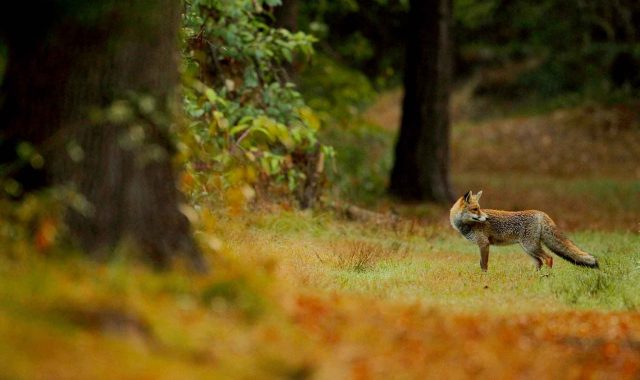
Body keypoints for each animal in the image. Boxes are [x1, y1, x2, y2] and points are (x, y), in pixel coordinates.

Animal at [450, 191, 600, 272]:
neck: (466, 225)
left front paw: (484, 278)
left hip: (530, 246)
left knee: (548, 258)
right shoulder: (482, 245)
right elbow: (481, 263)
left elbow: (484, 264)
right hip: (527, 248)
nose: (486, 218)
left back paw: (548, 277)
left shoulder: (484, 244)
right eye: (475, 209)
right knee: (539, 262)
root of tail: (540, 213)